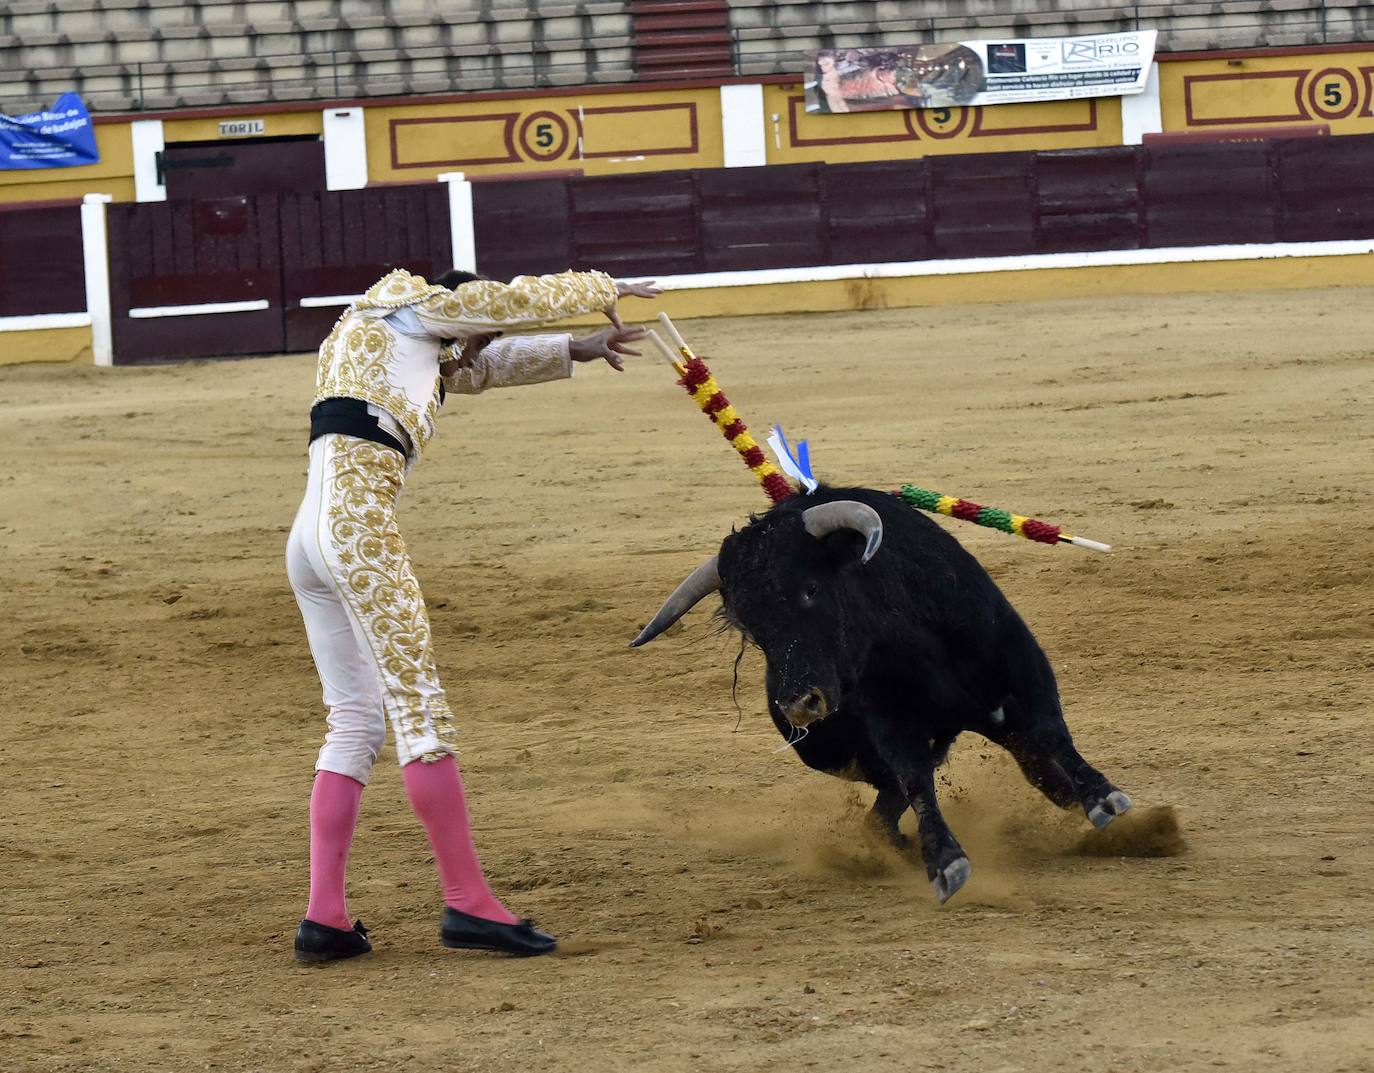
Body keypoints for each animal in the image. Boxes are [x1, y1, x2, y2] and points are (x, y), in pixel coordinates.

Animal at [629, 486, 1132, 906]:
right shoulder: (889, 716)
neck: (909, 640)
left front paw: (1103, 799)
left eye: (810, 589)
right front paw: (943, 861)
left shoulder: (1021, 661)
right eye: (750, 626)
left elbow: (1047, 732)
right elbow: (914, 778)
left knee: (1022, 747)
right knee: (891, 797)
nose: (797, 706)